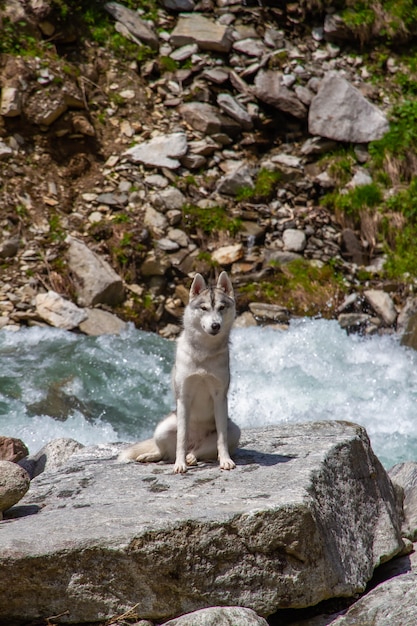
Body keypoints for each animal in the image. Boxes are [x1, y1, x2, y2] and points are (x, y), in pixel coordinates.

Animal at [118, 270, 239, 470]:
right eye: (204, 308)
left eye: (221, 308)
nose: (216, 325)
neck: (203, 353)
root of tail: (195, 442)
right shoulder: (184, 396)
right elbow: (181, 438)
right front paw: (179, 465)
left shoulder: (219, 397)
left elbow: (221, 439)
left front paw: (225, 460)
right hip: (162, 428)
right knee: (165, 451)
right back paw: (152, 456)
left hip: (235, 431)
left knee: (200, 451)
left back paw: (192, 457)